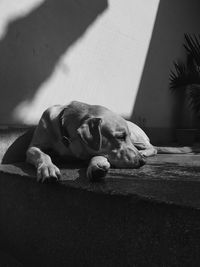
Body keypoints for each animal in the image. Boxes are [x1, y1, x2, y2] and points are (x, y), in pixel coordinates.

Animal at [25, 100, 191, 182]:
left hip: (137, 137)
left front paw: (97, 165)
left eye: (124, 136)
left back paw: (144, 152)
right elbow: (43, 154)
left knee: (152, 147)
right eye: (119, 137)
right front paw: (48, 167)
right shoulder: (33, 147)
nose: (142, 163)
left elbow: (98, 155)